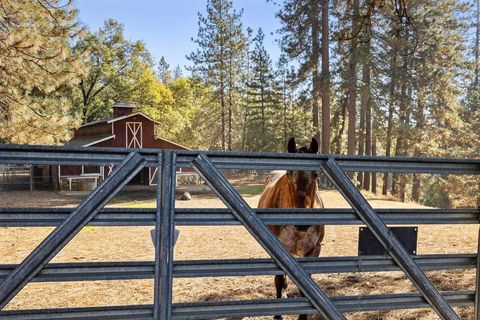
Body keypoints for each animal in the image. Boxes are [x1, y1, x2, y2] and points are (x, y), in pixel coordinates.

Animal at [256, 137, 324, 320]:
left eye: (315, 174)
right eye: (288, 173)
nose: (302, 223)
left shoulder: (313, 250)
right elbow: (279, 280)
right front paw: (278, 315)